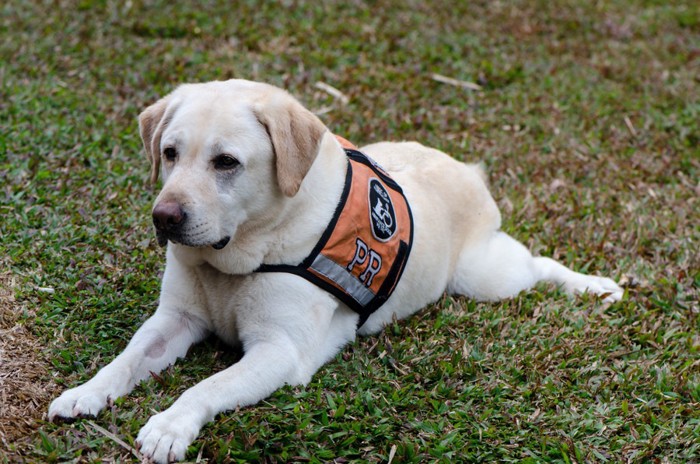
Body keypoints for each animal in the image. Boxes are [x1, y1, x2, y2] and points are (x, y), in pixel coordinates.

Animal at [50, 79, 624, 460]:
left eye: (226, 162)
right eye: (169, 153)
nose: (164, 218)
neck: (242, 256)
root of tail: (464, 168)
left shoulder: (279, 352)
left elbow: (207, 387)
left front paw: (170, 425)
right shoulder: (175, 320)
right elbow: (125, 360)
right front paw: (86, 392)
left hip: (488, 276)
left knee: (538, 264)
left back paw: (595, 286)